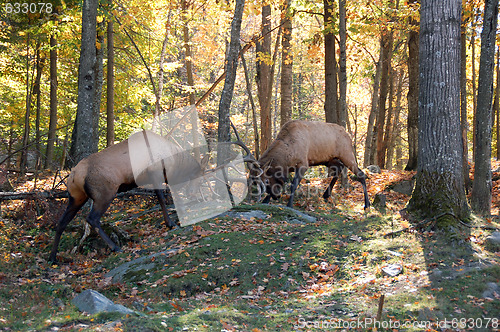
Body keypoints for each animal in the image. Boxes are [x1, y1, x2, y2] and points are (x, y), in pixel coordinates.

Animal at [47, 130, 208, 262]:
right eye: (200, 177)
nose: (194, 194)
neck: (173, 161)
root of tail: (75, 175)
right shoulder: (156, 173)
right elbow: (163, 198)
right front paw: (170, 223)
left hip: (76, 197)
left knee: (61, 222)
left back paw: (53, 257)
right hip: (105, 194)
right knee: (92, 218)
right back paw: (115, 247)